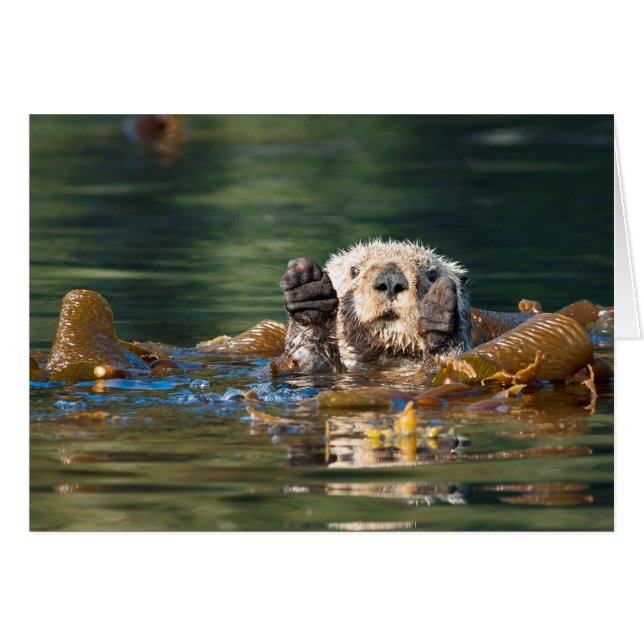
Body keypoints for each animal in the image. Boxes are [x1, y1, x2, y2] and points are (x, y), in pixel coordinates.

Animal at [281, 239, 472, 373]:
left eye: (432, 274)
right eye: (354, 271)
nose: (390, 279)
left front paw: (438, 314)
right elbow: (309, 358)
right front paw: (308, 289)